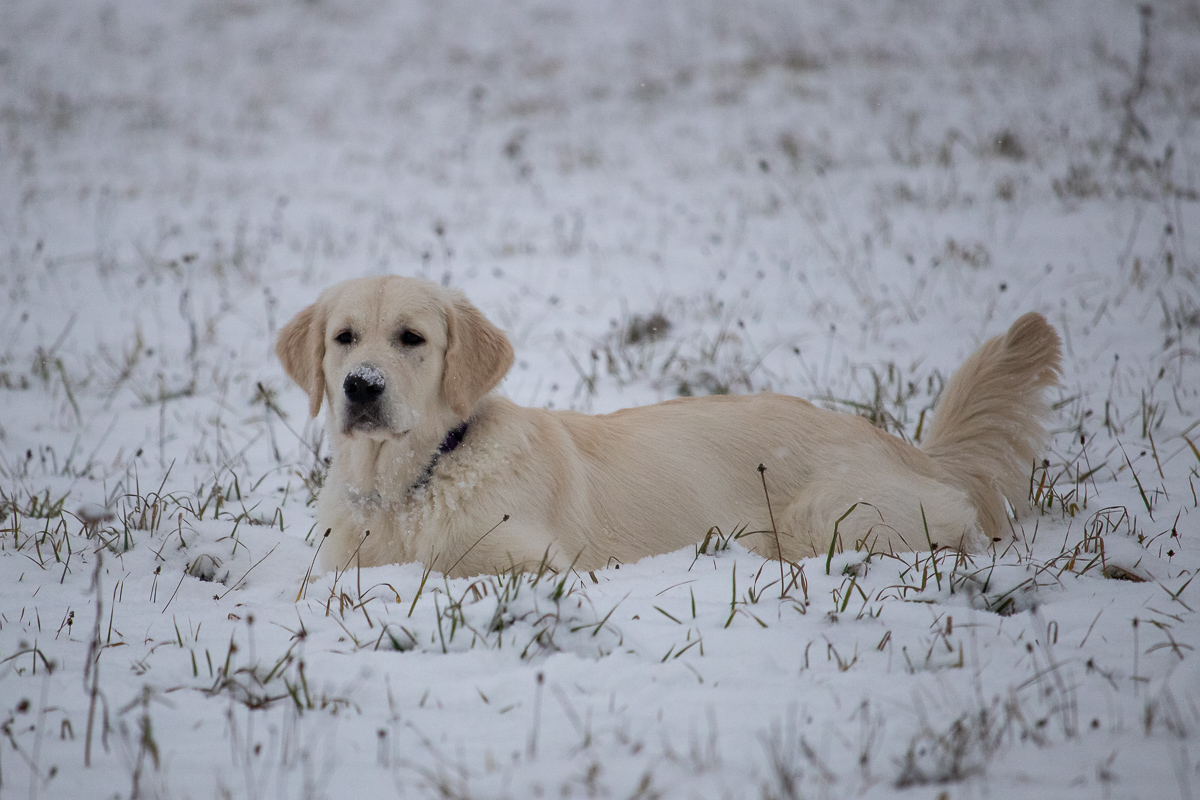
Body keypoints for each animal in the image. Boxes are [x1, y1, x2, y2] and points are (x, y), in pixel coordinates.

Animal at [278, 275, 1060, 575]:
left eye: (411, 338)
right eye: (344, 338)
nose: (361, 387)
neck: (409, 486)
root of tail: (906, 447)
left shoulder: (530, 561)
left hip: (830, 517)